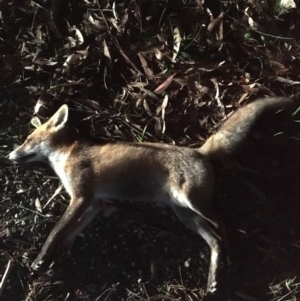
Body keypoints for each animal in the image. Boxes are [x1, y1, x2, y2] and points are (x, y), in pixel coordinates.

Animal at [8, 97, 296, 294]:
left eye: (28, 140)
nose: (9, 155)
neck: (67, 155)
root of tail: (198, 151)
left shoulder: (81, 196)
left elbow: (56, 230)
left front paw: (41, 260)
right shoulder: (94, 203)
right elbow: (71, 231)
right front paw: (59, 255)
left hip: (194, 203)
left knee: (225, 226)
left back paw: (229, 260)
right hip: (185, 216)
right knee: (214, 239)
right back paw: (213, 279)